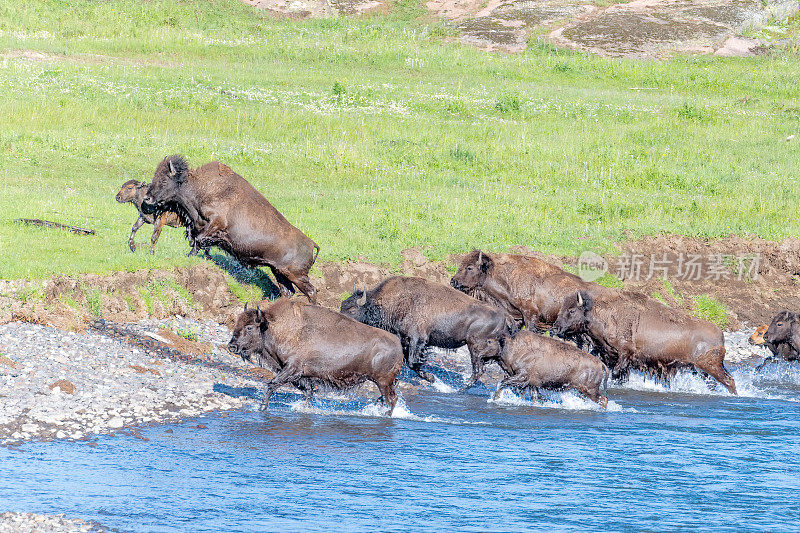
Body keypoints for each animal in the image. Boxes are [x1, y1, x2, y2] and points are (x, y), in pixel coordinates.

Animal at [141, 156, 318, 302]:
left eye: (164, 180)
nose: (147, 198)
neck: (201, 188)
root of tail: (311, 244)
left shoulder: (215, 224)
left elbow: (199, 241)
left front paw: (190, 256)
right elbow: (198, 242)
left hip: (295, 275)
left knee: (311, 291)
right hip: (278, 272)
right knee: (288, 291)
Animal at [227, 298, 404, 414]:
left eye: (249, 327)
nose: (232, 346)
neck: (273, 328)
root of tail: (399, 345)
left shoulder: (292, 369)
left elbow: (271, 384)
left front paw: (262, 407)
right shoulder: (300, 376)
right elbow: (308, 392)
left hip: (383, 382)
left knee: (391, 400)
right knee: (387, 399)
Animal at [336, 276, 512, 388]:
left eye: (352, 309)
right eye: (342, 305)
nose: (342, 323)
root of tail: (504, 316)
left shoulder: (418, 339)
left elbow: (413, 362)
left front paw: (432, 378)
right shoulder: (405, 341)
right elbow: (409, 362)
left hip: (475, 347)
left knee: (478, 370)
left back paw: (461, 389)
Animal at [552, 288, 736, 392]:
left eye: (571, 310)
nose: (555, 328)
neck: (605, 314)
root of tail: (721, 335)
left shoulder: (625, 354)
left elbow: (617, 372)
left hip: (710, 366)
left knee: (729, 381)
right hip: (701, 369)